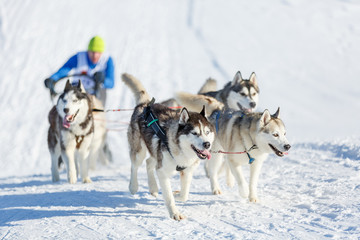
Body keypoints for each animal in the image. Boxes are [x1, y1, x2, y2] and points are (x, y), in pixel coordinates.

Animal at [122, 73, 215, 221]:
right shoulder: (163, 172)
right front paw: (175, 213)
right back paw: (134, 186)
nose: (207, 144)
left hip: (155, 151)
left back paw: (153, 188)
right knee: (135, 166)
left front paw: (178, 194)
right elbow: (169, 197)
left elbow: (184, 195)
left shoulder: (187, 171)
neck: (181, 151)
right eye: (194, 133)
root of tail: (145, 105)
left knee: (149, 162)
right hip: (139, 151)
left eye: (207, 132)